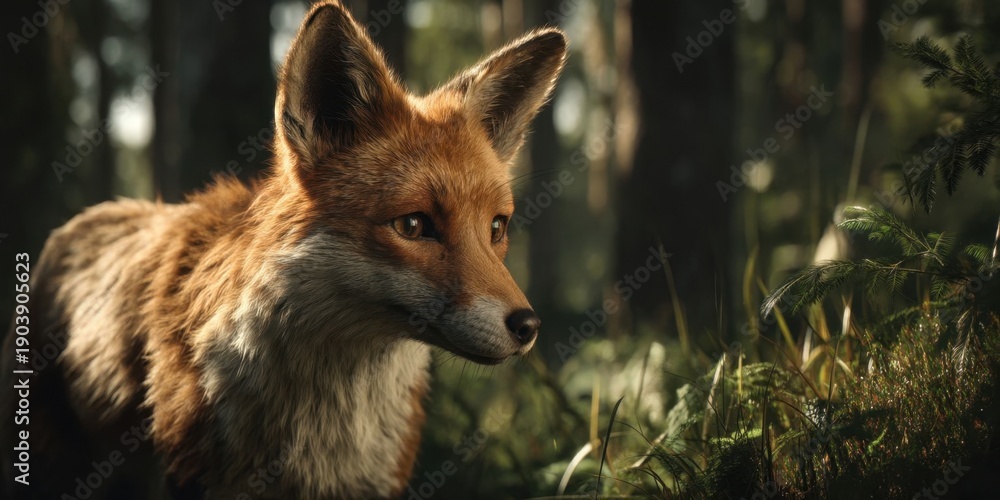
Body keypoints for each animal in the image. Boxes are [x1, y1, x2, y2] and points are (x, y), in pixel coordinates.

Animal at [1, 1, 566, 498]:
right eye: (413, 225)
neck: (323, 426)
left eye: (497, 228)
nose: (528, 326)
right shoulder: (194, 477)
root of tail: (86, 217)